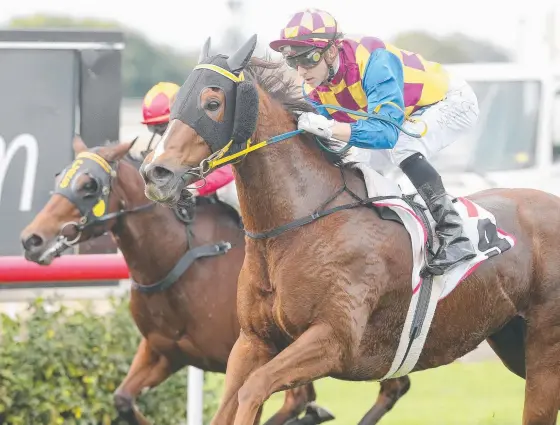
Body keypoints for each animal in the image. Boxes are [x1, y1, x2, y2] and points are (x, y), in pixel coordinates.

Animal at [19, 137, 410, 422]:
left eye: (89, 185)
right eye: (59, 177)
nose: (32, 239)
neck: (181, 261)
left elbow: (290, 401)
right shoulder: (164, 351)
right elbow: (123, 399)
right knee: (395, 386)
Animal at [140, 35, 556, 424]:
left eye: (212, 103)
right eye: (177, 102)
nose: (155, 172)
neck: (301, 224)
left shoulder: (333, 340)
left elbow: (252, 390)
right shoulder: (253, 341)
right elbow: (230, 403)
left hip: (545, 347)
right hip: (511, 338)